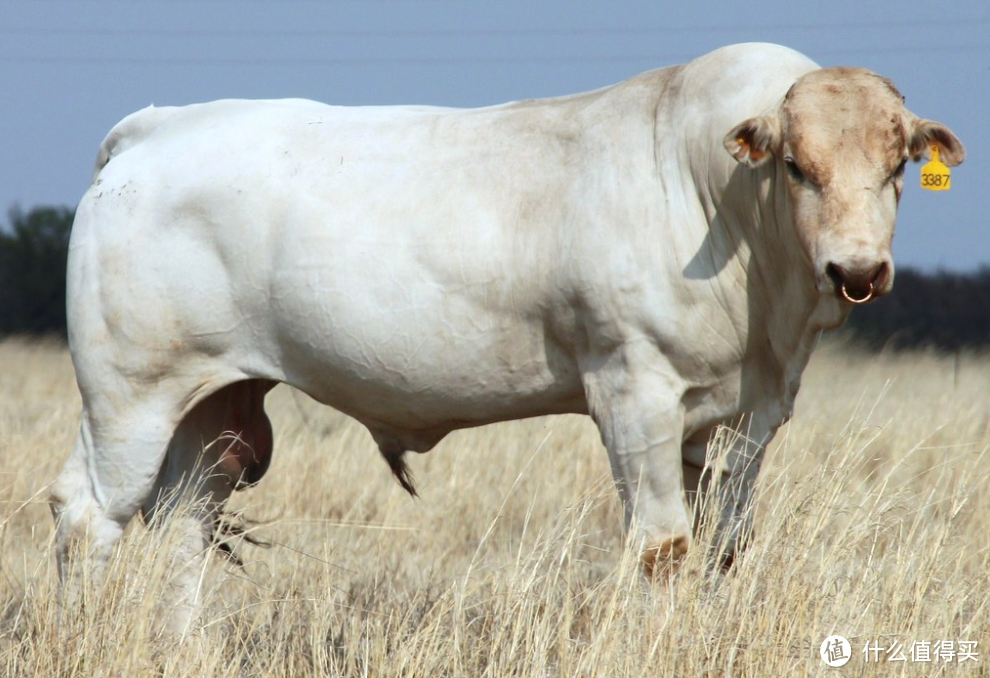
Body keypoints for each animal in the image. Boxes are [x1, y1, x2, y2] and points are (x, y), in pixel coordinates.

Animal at [50, 43, 964, 632]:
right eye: (798, 167)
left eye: (896, 168)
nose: (857, 268)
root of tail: (155, 129)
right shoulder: (633, 388)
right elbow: (661, 549)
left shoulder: (747, 415)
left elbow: (722, 550)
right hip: (127, 393)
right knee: (88, 513)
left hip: (211, 401)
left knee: (185, 522)